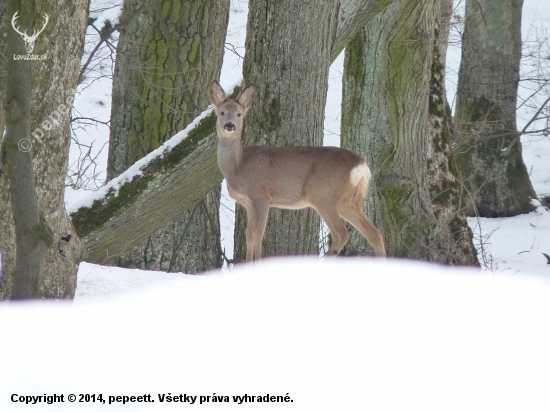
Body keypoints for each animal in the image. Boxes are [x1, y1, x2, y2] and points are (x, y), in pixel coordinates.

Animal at [211, 80, 388, 260]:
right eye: (222, 112)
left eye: (239, 114)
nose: (230, 125)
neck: (238, 166)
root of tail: (361, 165)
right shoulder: (248, 203)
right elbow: (249, 235)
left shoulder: (261, 196)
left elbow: (257, 234)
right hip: (348, 201)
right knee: (375, 234)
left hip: (323, 194)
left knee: (342, 234)